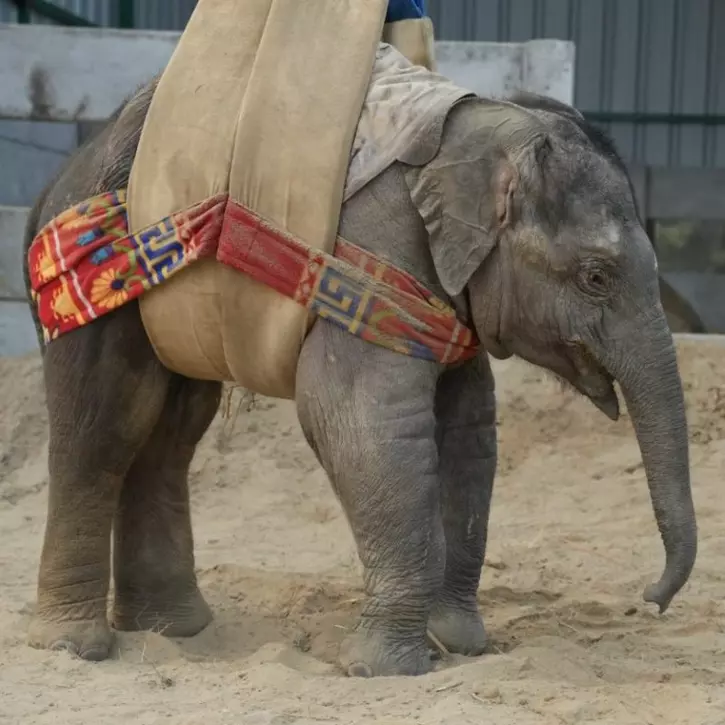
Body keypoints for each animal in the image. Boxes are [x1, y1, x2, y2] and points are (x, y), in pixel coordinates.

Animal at [21, 79, 696, 678]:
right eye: (596, 277)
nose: (650, 600)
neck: (482, 120)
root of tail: (53, 183)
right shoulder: (375, 253)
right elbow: (362, 420)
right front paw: (387, 669)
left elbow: (469, 430)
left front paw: (458, 644)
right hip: (99, 270)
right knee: (106, 425)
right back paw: (75, 646)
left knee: (171, 431)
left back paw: (174, 630)